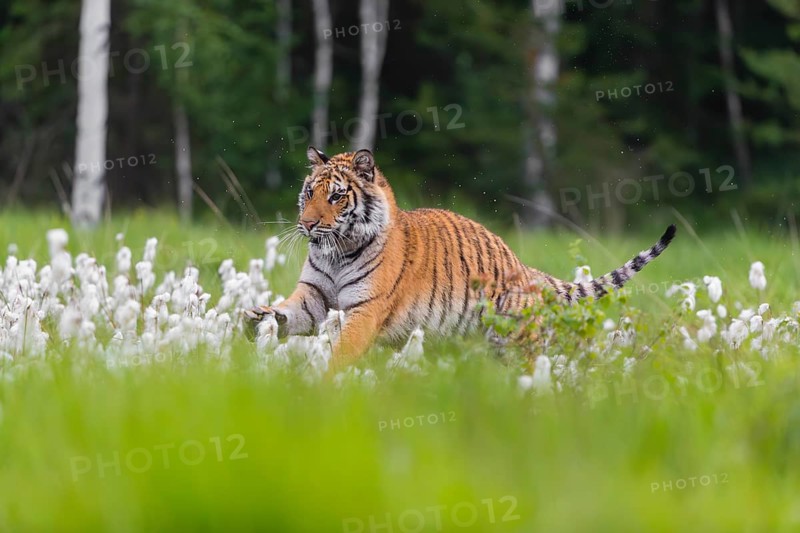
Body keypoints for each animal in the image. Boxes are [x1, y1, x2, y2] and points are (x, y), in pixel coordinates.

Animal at [246, 146, 677, 373]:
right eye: (309, 193)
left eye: (336, 196)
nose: (306, 224)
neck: (337, 250)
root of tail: (525, 268)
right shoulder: (314, 295)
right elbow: (290, 312)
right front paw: (257, 318)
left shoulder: (366, 309)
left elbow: (342, 351)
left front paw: (321, 380)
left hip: (515, 343)